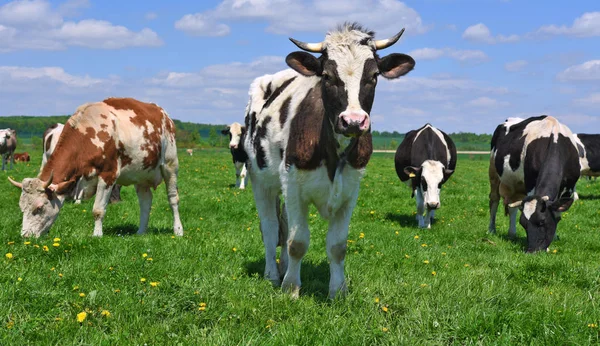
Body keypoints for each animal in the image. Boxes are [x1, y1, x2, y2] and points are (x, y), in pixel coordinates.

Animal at [7, 97, 183, 238]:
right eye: (21, 207)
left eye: (39, 208)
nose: (25, 236)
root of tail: (164, 115)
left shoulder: (108, 174)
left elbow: (98, 210)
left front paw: (97, 235)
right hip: (141, 174)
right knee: (145, 202)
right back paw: (141, 232)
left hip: (170, 165)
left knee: (173, 198)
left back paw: (178, 230)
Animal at [241, 22, 414, 298]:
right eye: (327, 76)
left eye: (374, 75)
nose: (353, 121)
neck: (334, 153)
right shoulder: (293, 185)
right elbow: (297, 241)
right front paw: (291, 288)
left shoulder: (350, 190)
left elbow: (337, 246)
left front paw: (338, 291)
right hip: (261, 180)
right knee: (269, 228)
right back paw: (272, 274)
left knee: (284, 225)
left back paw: (283, 267)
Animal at [488, 115, 580, 251]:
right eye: (523, 224)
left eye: (542, 222)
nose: (532, 251)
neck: (555, 138)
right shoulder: (531, 183)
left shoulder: (569, 186)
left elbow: (557, 213)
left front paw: (554, 237)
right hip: (493, 172)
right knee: (494, 199)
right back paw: (492, 229)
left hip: (517, 184)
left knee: (512, 207)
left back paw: (512, 233)